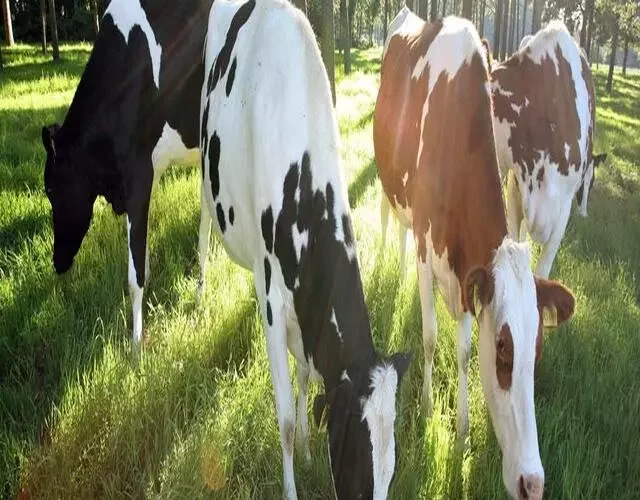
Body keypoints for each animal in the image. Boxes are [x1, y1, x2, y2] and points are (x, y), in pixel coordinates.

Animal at [41, 0, 214, 354]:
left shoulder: (139, 174)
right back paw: (201, 293)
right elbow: (141, 258)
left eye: (50, 188)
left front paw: (135, 345)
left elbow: (135, 274)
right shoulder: (148, 173)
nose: (57, 262)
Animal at [201, 0, 410, 498]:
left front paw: (311, 450)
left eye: (391, 472)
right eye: (356, 466)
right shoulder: (276, 302)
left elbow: (304, 376)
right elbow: (284, 422)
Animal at [374, 9, 576, 500]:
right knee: (390, 222)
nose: (532, 483)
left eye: (538, 350)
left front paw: (464, 432)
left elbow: (464, 350)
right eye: (503, 347)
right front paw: (429, 409)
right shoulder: (429, 253)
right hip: (388, 182)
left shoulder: (468, 273)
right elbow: (430, 338)